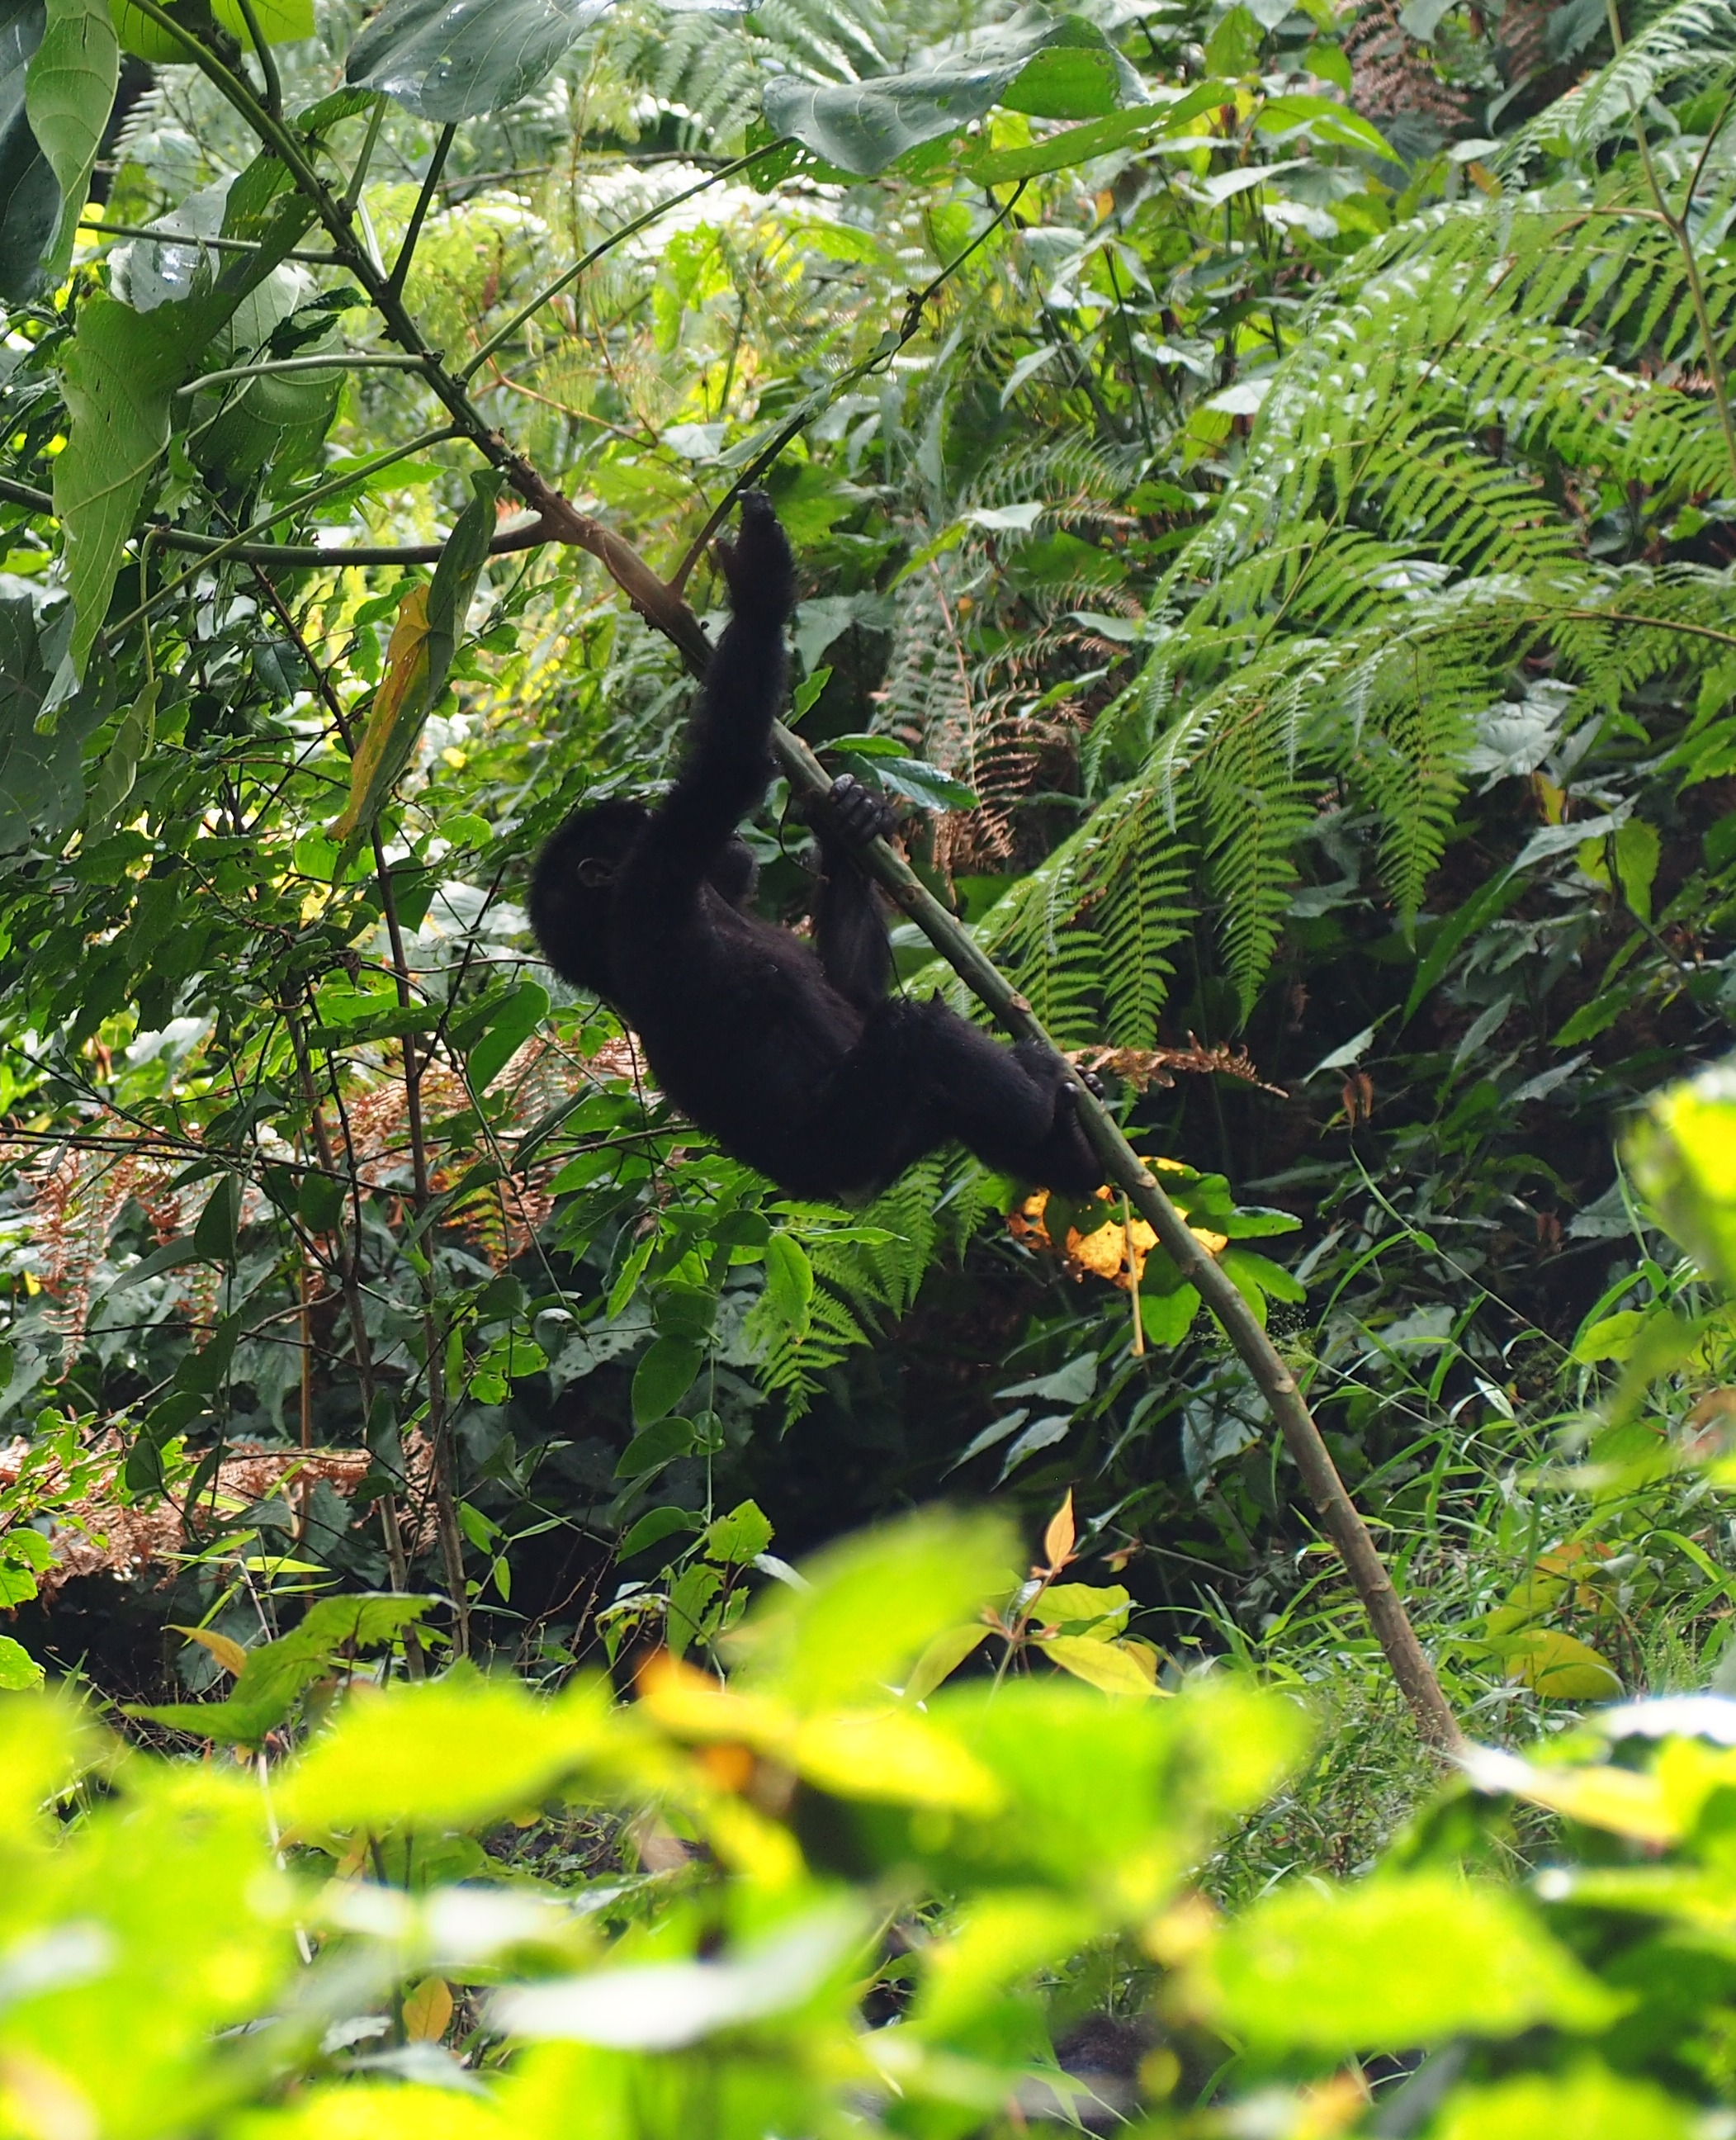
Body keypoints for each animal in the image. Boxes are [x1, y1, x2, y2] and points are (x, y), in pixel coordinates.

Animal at [529, 494, 1103, 1204]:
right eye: (639, 821)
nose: (738, 847)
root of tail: (842, 1191)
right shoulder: (657, 875)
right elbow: (728, 766)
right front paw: (758, 582)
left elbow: (848, 988)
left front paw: (852, 821)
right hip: (859, 1131)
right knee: (921, 1035)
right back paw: (1047, 1102)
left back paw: (1073, 1151)